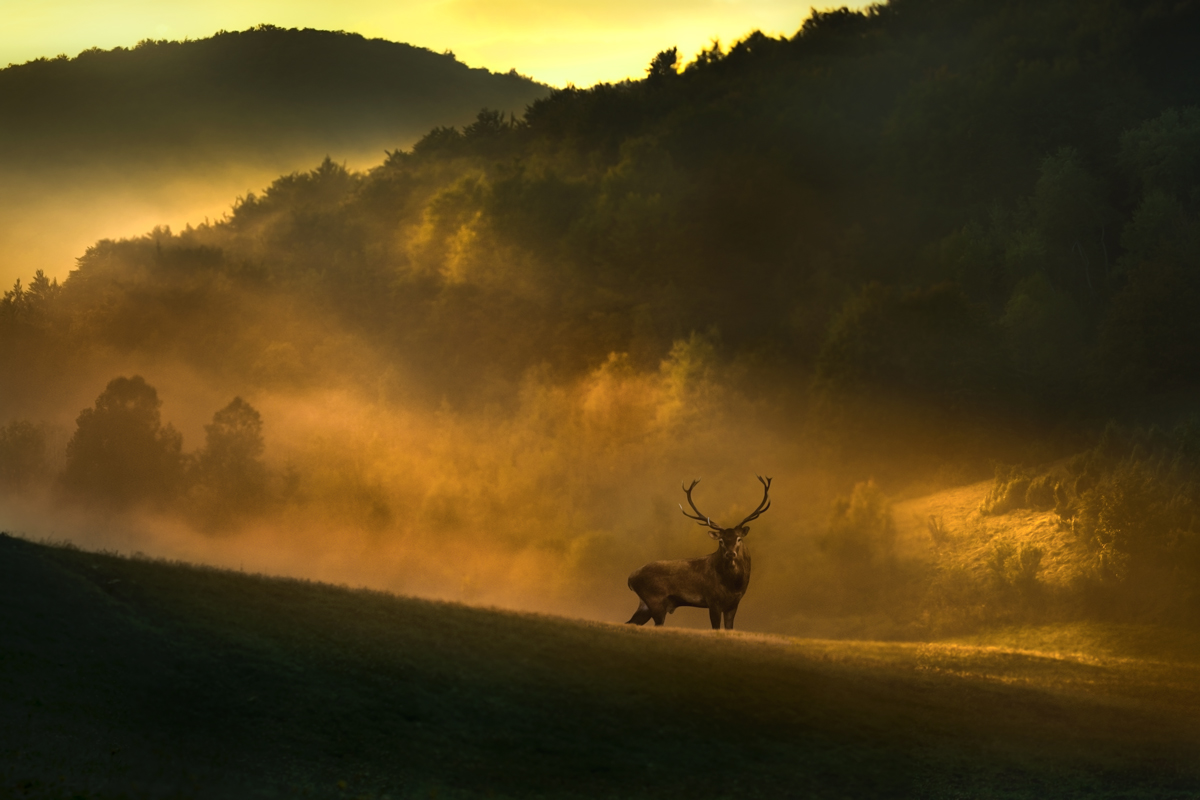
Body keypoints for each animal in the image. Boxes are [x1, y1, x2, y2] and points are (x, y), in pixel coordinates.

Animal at [624, 474, 772, 633]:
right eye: (721, 540)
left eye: (739, 539)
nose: (730, 554)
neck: (733, 585)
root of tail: (630, 578)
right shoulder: (712, 600)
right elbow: (715, 628)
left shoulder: (733, 604)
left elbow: (729, 628)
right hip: (655, 600)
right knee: (656, 625)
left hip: (645, 604)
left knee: (630, 622)